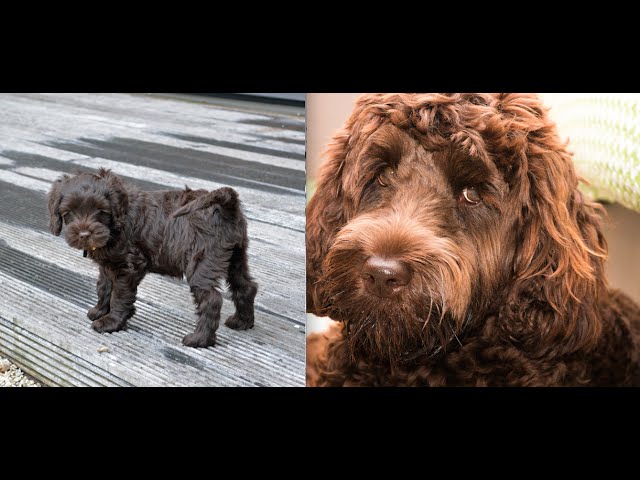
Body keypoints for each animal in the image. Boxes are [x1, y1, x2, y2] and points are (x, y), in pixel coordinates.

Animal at [47, 167, 258, 346]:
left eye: (101, 211)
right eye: (68, 212)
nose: (84, 235)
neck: (116, 223)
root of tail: (226, 205)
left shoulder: (130, 266)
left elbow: (119, 295)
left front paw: (110, 322)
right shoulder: (107, 266)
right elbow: (104, 287)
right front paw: (99, 311)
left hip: (202, 263)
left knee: (212, 299)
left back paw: (199, 339)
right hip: (235, 257)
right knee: (246, 286)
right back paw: (242, 322)